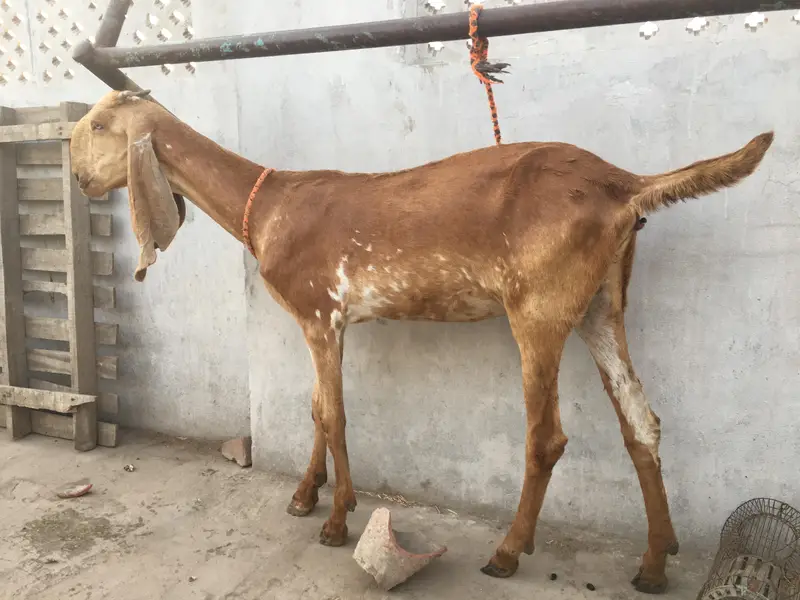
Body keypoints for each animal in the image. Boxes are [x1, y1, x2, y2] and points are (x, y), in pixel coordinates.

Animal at [70, 89, 773, 593]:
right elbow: (317, 410)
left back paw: (507, 552)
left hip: (539, 308)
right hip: (603, 304)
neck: (267, 207)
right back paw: (655, 561)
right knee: (641, 422)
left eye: (99, 126)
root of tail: (624, 185)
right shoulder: (328, 324)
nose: (77, 178)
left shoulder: (319, 314)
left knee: (546, 436)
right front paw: (304, 496)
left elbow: (333, 413)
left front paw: (336, 520)